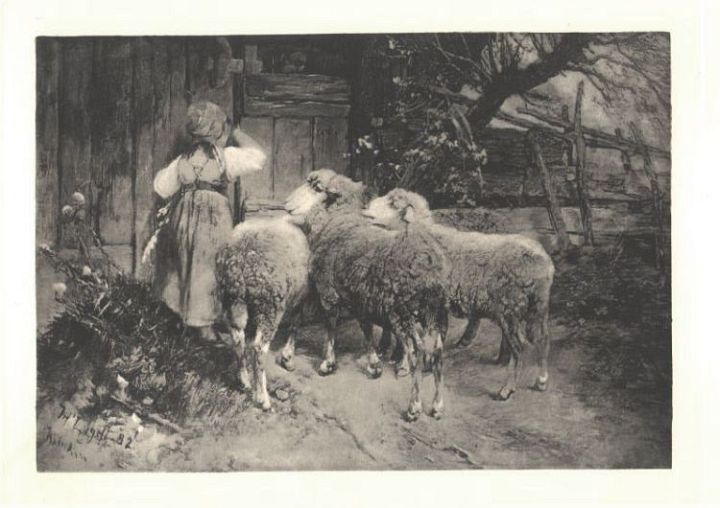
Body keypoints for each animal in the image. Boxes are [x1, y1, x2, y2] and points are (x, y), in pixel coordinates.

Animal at [217, 213, 312, 408]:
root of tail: (240, 257)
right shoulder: (300, 297)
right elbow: (295, 325)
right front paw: (288, 358)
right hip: (269, 306)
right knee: (259, 348)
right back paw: (262, 398)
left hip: (231, 300)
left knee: (238, 338)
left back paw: (244, 380)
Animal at [286, 171, 450, 420]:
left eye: (316, 188)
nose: (286, 204)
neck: (337, 220)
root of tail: (429, 262)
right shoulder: (359, 297)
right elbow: (366, 329)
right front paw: (374, 364)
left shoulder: (327, 290)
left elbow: (328, 325)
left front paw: (326, 363)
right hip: (436, 313)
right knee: (438, 353)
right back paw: (438, 405)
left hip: (404, 313)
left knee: (417, 352)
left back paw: (414, 406)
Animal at [366, 188, 556, 400]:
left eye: (393, 204)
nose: (366, 210)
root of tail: (543, 260)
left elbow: (412, 337)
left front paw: (405, 367)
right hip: (537, 306)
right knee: (543, 338)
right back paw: (541, 380)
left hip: (511, 307)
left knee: (520, 346)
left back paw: (507, 389)